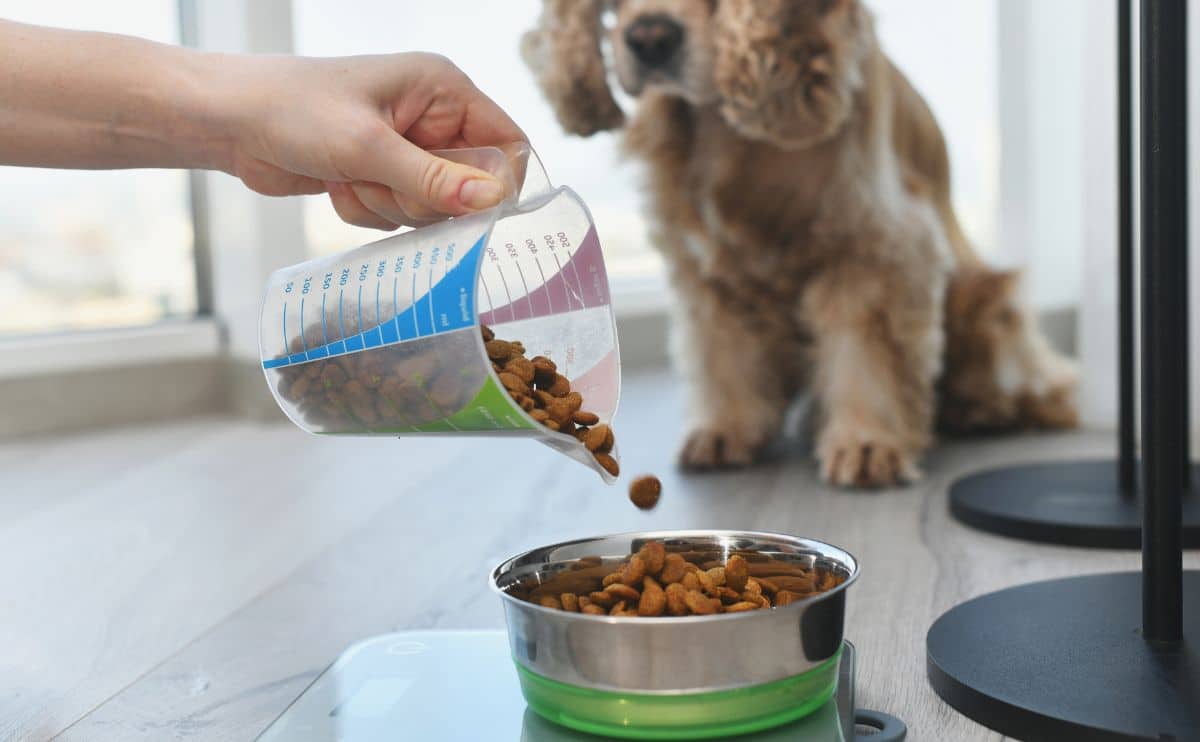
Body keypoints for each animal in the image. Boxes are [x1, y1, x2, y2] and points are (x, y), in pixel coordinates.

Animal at [525, 0, 1080, 485]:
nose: (650, 38)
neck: (727, 130)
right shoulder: (704, 262)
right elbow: (719, 347)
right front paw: (726, 429)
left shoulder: (874, 245)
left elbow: (867, 349)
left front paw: (866, 444)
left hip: (981, 296)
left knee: (1037, 381)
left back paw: (983, 408)